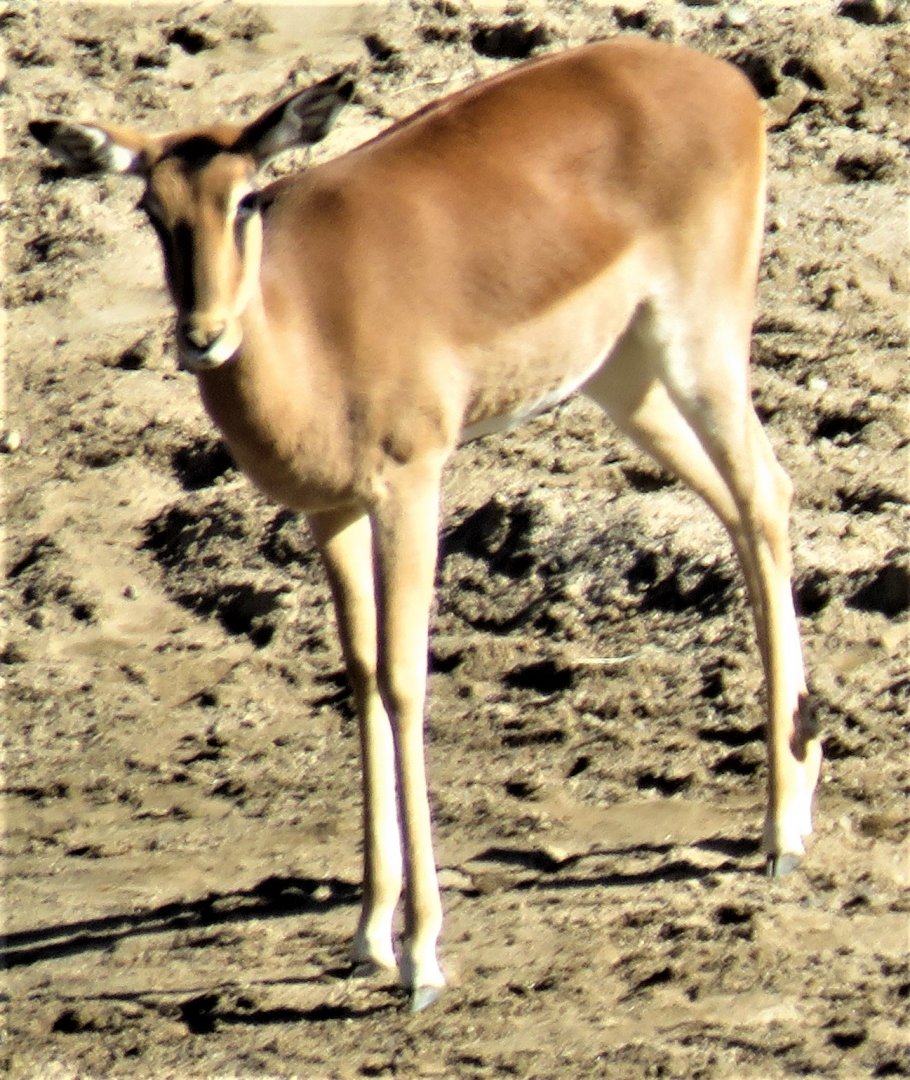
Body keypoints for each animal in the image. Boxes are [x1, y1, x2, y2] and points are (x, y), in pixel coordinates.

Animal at [30, 37, 822, 1011]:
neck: (308, 328)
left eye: (246, 197)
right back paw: (794, 794)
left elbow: (407, 682)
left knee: (765, 492)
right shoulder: (331, 510)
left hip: (698, 346)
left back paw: (782, 833)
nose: (203, 334)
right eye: (151, 208)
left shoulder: (412, 485)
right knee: (749, 506)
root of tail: (722, 78)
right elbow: (363, 677)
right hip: (624, 378)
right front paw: (370, 932)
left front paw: (422, 955)